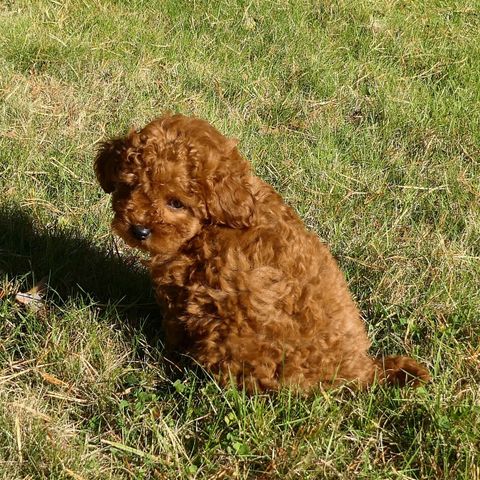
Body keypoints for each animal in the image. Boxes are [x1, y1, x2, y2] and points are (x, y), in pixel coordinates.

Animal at [94, 114, 432, 392]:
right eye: (130, 186)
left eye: (176, 203)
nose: (139, 230)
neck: (213, 224)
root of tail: (365, 372)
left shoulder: (189, 294)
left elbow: (176, 331)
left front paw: (166, 358)